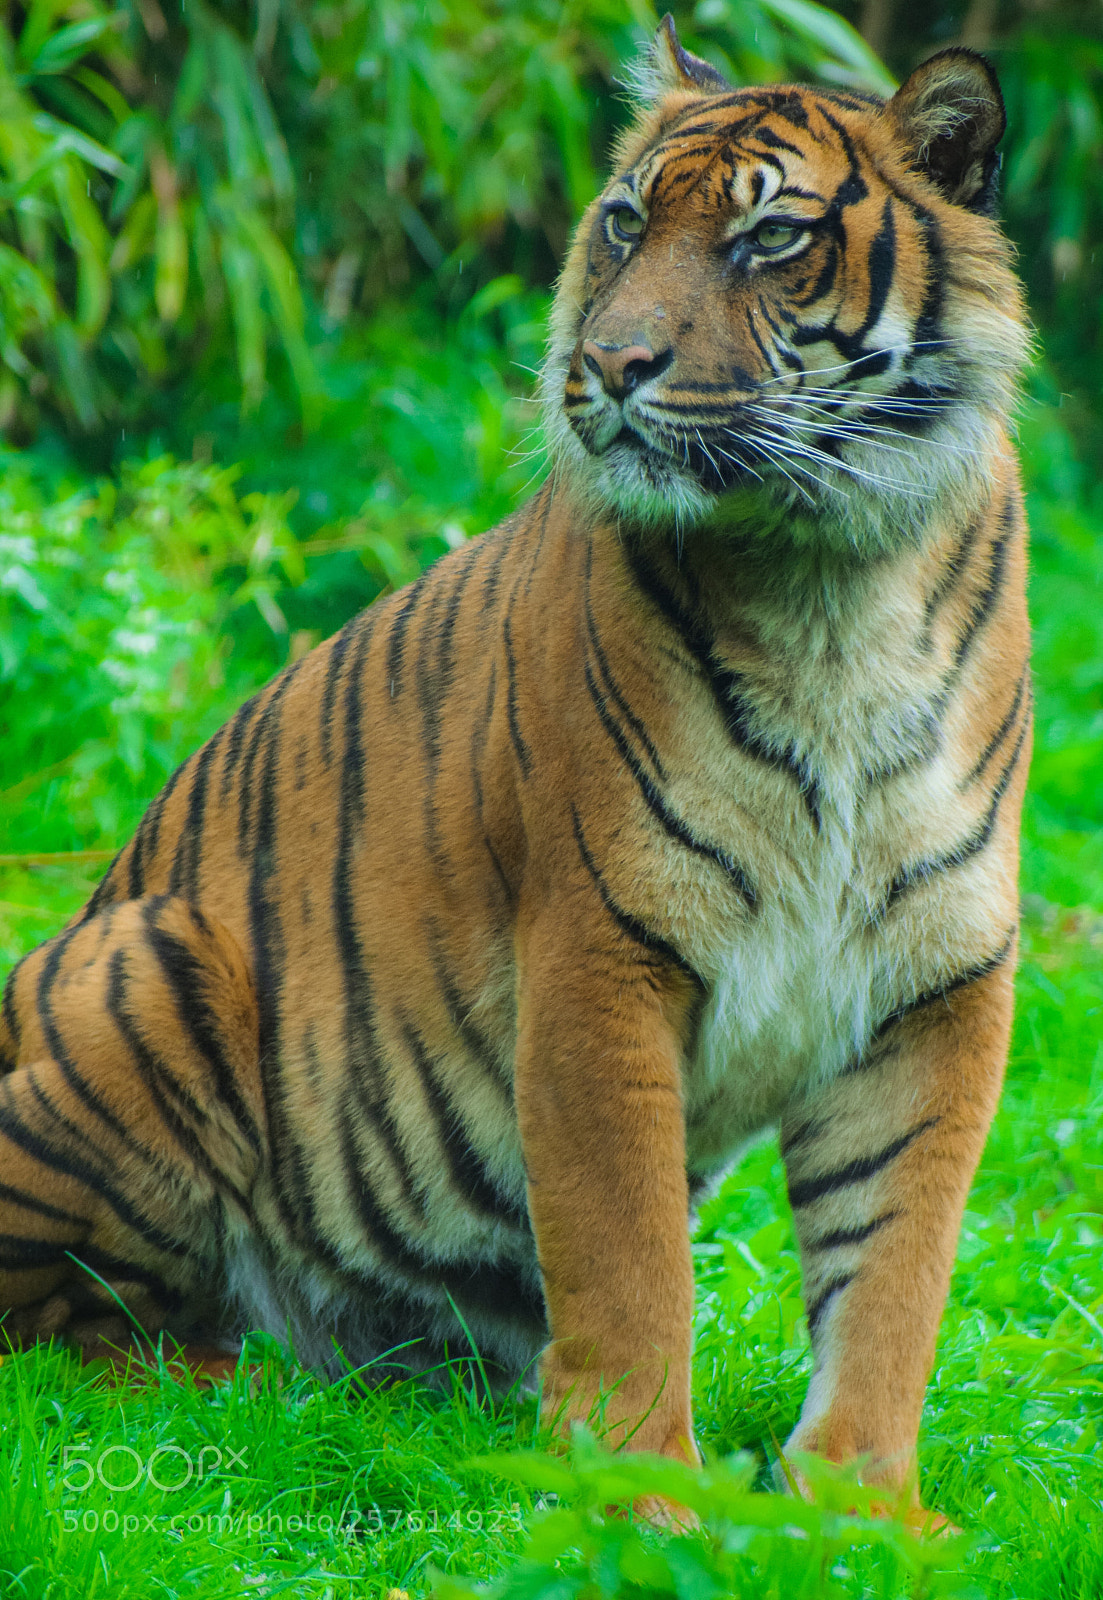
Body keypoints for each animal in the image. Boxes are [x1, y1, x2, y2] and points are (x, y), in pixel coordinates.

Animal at [0, 16, 1031, 1522]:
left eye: (768, 239)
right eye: (622, 224)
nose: (606, 364)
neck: (830, 578)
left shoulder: (933, 978)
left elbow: (893, 1268)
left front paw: (861, 1516)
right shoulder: (601, 948)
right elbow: (627, 1258)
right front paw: (640, 1496)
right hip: (144, 970)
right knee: (61, 1346)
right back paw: (245, 1392)